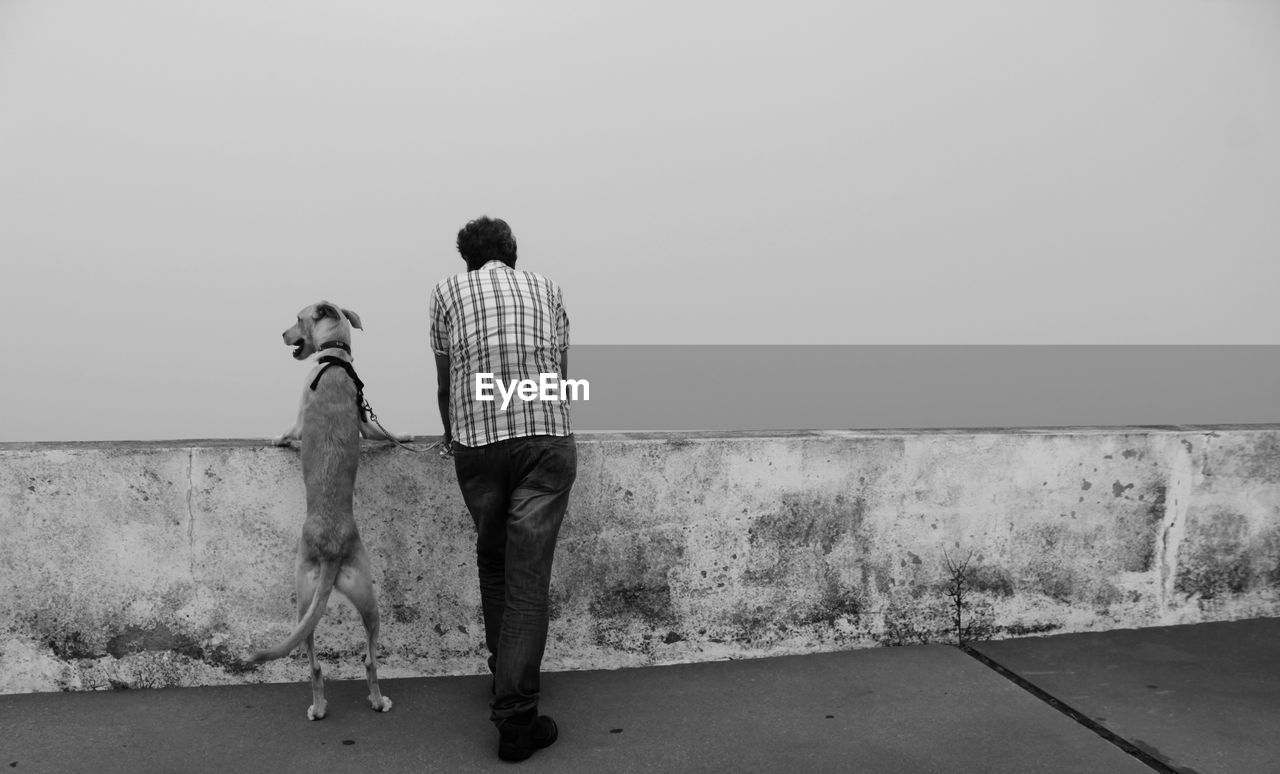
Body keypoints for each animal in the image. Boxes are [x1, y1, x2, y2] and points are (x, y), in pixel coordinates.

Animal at [248, 300, 407, 716]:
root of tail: (332, 549)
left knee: (337, 661)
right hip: (348, 593)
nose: (282, 334)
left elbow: (290, 431)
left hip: (318, 592)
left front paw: (278, 439)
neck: (334, 360)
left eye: (297, 319)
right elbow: (380, 432)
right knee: (349, 658)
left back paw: (344, 703)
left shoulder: (300, 412)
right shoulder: (365, 420)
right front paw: (403, 436)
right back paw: (357, 702)